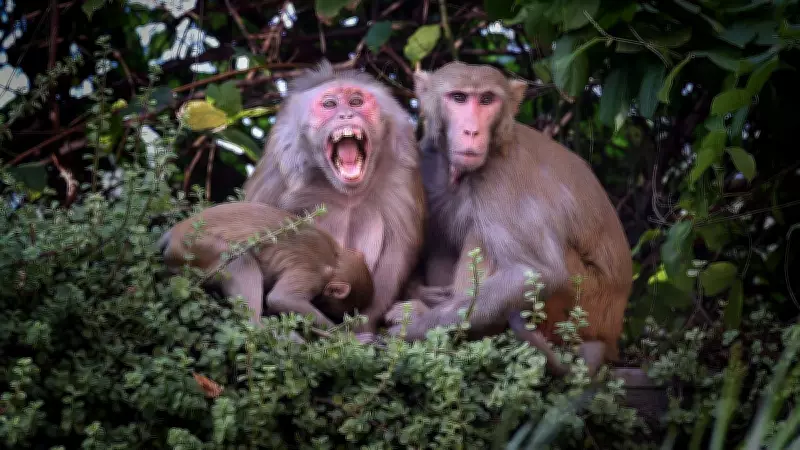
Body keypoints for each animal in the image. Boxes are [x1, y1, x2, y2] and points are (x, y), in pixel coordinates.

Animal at [158, 201, 374, 330]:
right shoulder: (313, 275)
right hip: (194, 247)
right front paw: (341, 334)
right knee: (240, 261)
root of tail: (174, 233)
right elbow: (282, 299)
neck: (335, 259)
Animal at [243, 60, 426, 343]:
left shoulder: (402, 172)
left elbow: (398, 249)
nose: (346, 115)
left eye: (356, 101)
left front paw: (363, 330)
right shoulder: (281, 170)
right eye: (329, 105)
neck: (345, 191)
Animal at [384, 62, 632, 377]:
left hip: (583, 305)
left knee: (483, 237)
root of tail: (611, 336)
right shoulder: (425, 163)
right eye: (459, 98)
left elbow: (533, 272)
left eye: (487, 100)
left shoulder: (500, 177)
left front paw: (414, 325)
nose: (472, 131)